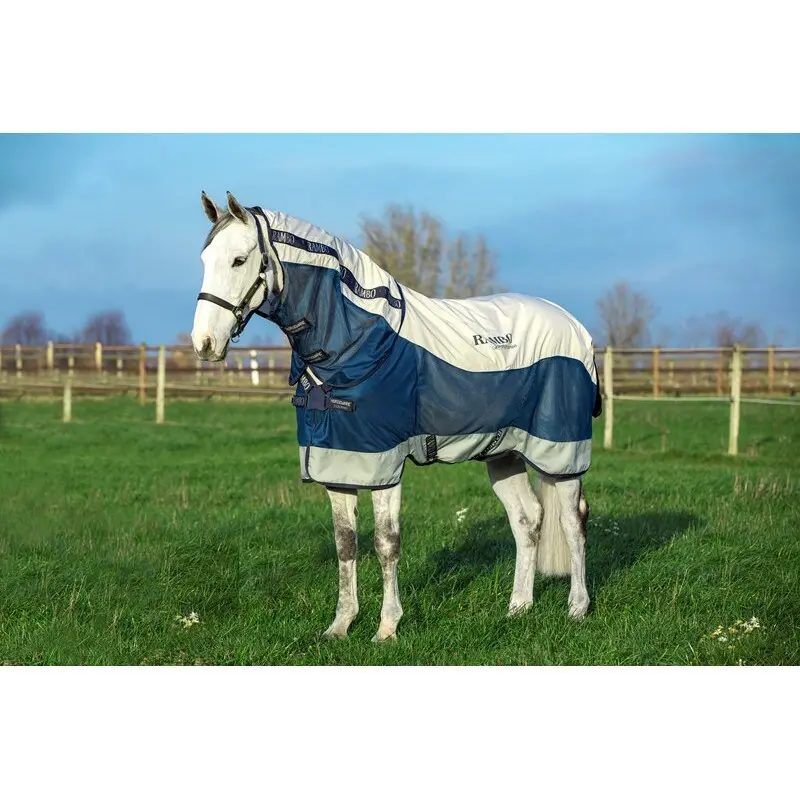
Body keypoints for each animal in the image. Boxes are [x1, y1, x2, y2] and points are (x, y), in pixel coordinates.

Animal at [191, 191, 602, 642]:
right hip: (503, 453)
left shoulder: (383, 465)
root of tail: (575, 328)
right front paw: (340, 625)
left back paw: (577, 608)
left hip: (559, 452)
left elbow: (386, 543)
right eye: (205, 259)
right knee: (527, 521)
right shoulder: (340, 463)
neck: (358, 345)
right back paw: (518, 608)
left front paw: (386, 628)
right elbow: (346, 544)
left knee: (572, 521)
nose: (204, 344)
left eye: (239, 260)